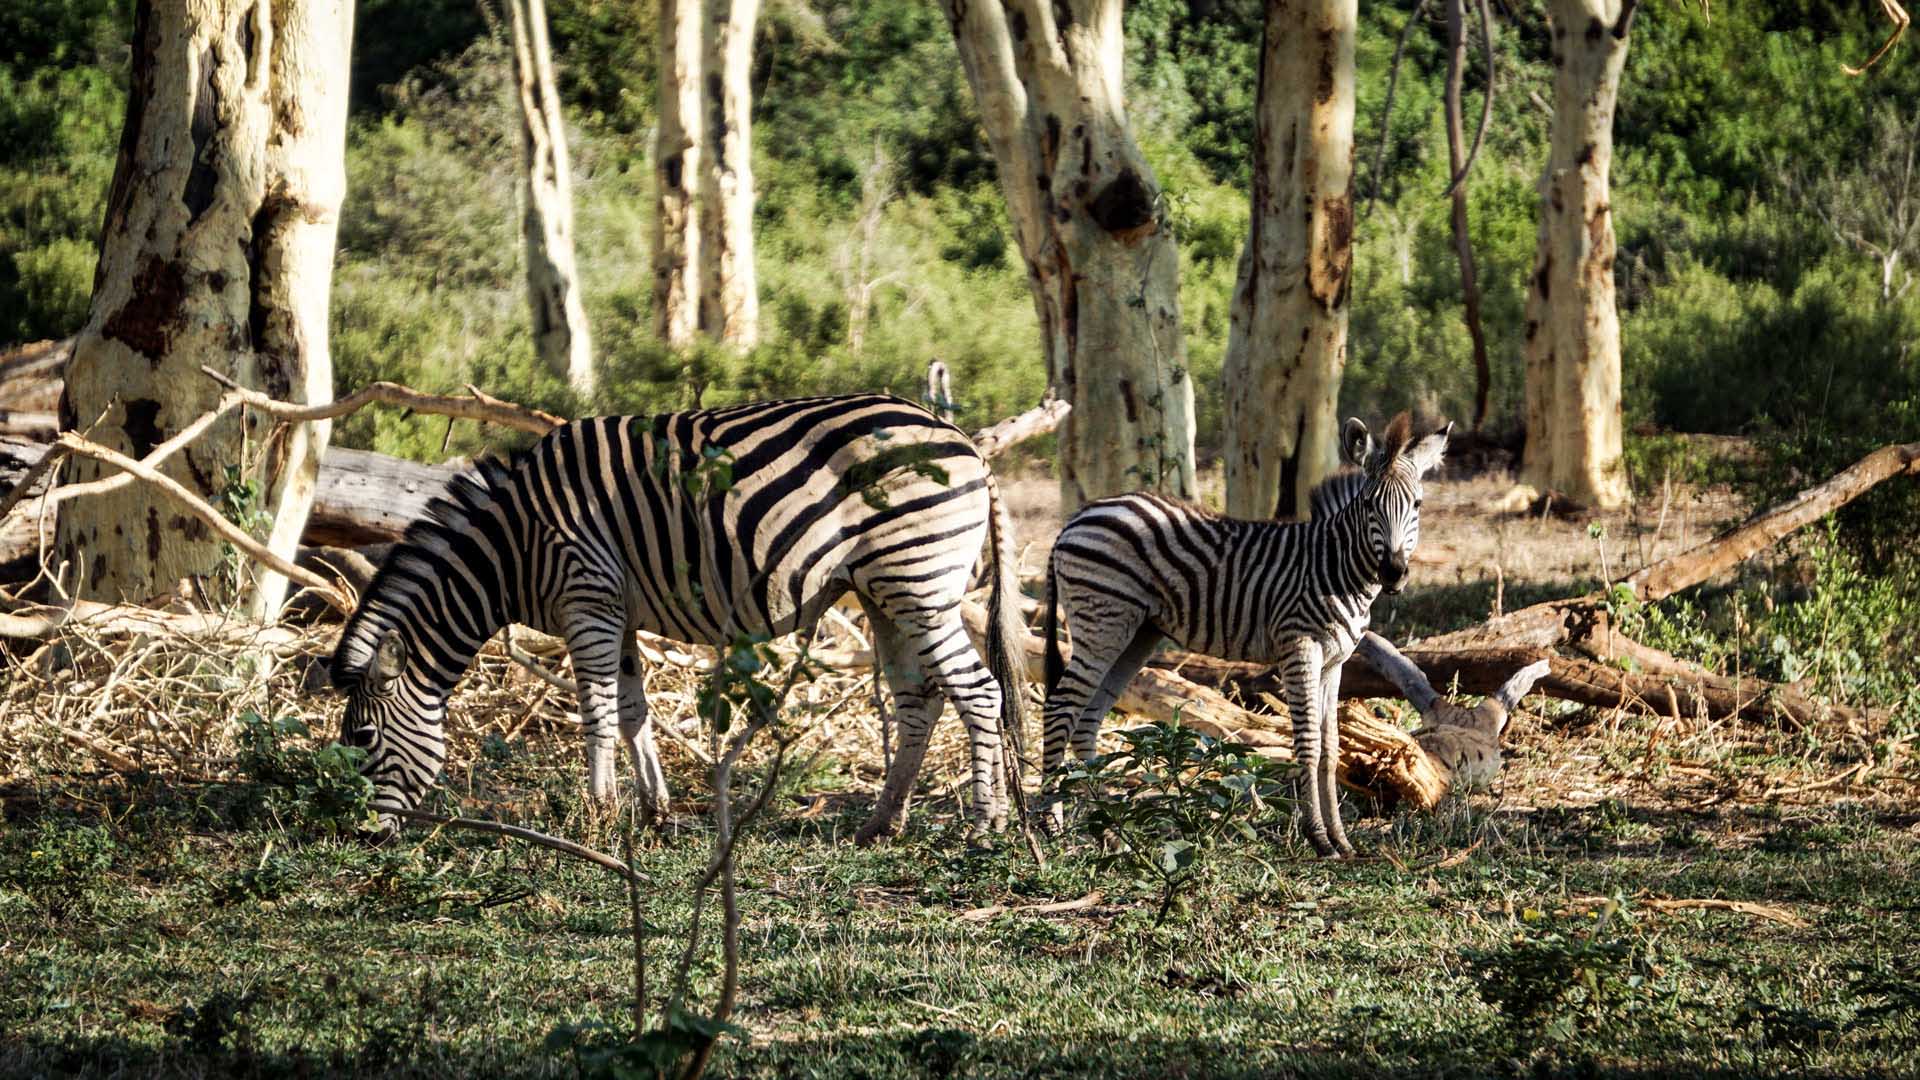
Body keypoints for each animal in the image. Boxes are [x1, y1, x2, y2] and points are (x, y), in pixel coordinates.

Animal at [328, 394, 1031, 846]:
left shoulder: (588, 598)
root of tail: (964, 442)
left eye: (361, 739)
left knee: (979, 691)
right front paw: (654, 813)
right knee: (920, 699)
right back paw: (883, 824)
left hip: (916, 579)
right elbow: (632, 711)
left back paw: (985, 823)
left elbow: (597, 714)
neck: (513, 547)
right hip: (887, 592)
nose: (361, 836)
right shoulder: (614, 611)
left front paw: (599, 815)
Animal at [1040, 412, 1450, 858]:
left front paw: (1342, 840)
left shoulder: (1334, 662)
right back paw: (1048, 828)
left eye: (1417, 504)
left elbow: (1331, 746)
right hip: (1102, 622)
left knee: (1087, 718)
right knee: (1059, 707)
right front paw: (1318, 837)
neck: (1334, 566)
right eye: (1369, 504)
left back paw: (1109, 832)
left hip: (1135, 633)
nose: (1393, 573)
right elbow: (1308, 742)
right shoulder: (1299, 647)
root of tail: (1076, 519)